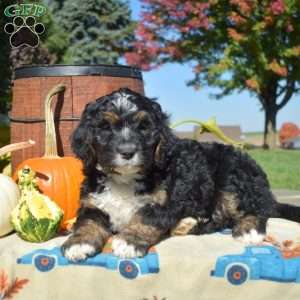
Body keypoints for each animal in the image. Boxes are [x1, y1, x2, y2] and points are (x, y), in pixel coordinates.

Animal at [61, 86, 300, 260]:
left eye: (144, 127)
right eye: (105, 127)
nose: (127, 151)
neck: (125, 179)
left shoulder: (165, 202)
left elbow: (144, 218)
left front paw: (129, 240)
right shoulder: (93, 203)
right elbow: (87, 222)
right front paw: (78, 243)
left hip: (233, 176)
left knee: (255, 209)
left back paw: (248, 229)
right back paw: (187, 223)